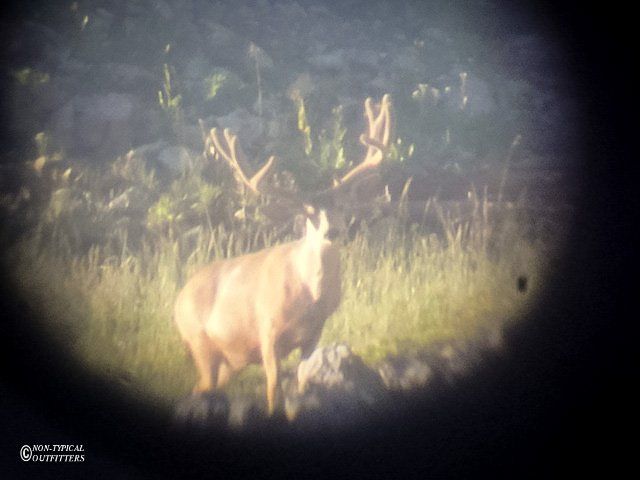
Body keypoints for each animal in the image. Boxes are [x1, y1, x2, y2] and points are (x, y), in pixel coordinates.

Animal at [174, 94, 393, 415]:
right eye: (310, 214)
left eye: (341, 207)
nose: (334, 230)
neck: (310, 297)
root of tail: (177, 299)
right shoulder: (267, 329)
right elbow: (273, 386)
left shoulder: (314, 333)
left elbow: (303, 378)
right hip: (200, 342)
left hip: (229, 361)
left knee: (201, 388)